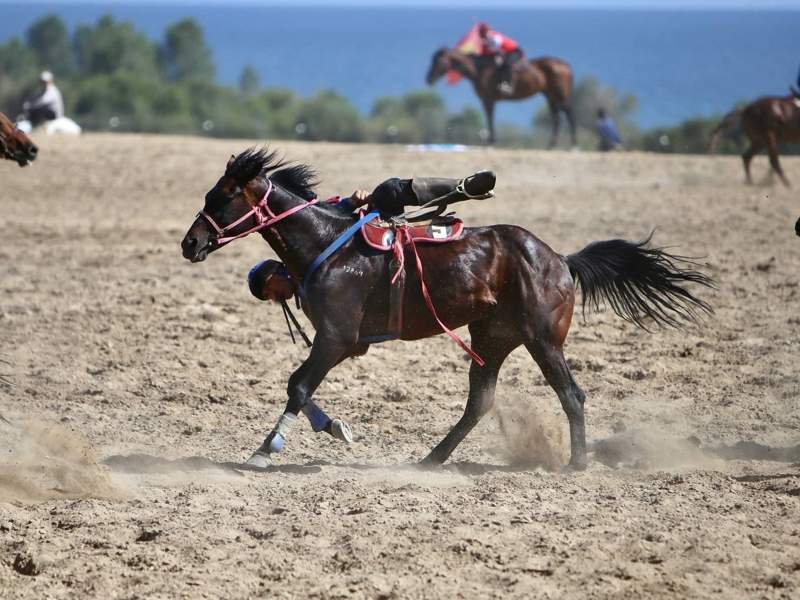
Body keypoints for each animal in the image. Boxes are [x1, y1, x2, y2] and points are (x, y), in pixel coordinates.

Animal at [183, 148, 712, 472]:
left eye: (222, 195)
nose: (190, 243)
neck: (326, 244)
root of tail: (561, 259)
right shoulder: (341, 344)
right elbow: (301, 386)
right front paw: (333, 428)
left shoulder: (336, 339)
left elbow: (297, 385)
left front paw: (265, 449)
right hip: (492, 338)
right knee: (480, 402)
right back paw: (433, 458)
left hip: (543, 340)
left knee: (572, 395)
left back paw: (576, 462)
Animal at [424, 47, 576, 148]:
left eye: (437, 61)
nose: (428, 79)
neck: (479, 69)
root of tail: (565, 65)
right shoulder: (487, 100)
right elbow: (489, 117)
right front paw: (491, 140)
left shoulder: (488, 99)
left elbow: (489, 117)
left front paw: (491, 141)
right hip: (549, 95)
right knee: (556, 116)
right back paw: (552, 144)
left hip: (559, 94)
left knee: (568, 113)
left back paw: (573, 144)